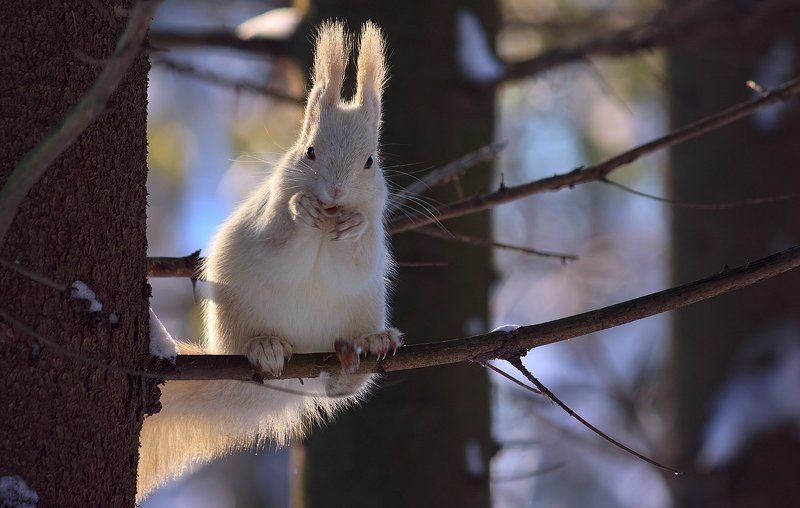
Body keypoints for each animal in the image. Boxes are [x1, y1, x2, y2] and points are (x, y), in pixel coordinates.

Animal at [137, 21, 402, 500]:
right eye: (309, 151)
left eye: (370, 161)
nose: (334, 192)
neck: (325, 231)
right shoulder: (269, 217)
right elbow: (281, 244)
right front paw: (302, 210)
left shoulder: (376, 227)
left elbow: (355, 259)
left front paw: (352, 225)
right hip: (238, 319)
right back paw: (266, 347)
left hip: (361, 311)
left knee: (339, 387)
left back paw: (368, 346)